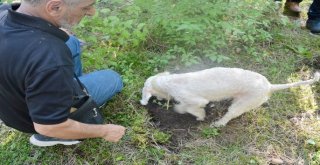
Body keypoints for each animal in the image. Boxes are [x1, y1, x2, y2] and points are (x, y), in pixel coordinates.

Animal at [140, 67, 320, 127]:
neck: (169, 81)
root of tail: (269, 86)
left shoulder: (195, 99)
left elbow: (189, 107)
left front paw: (198, 115)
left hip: (242, 104)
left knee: (229, 115)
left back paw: (218, 123)